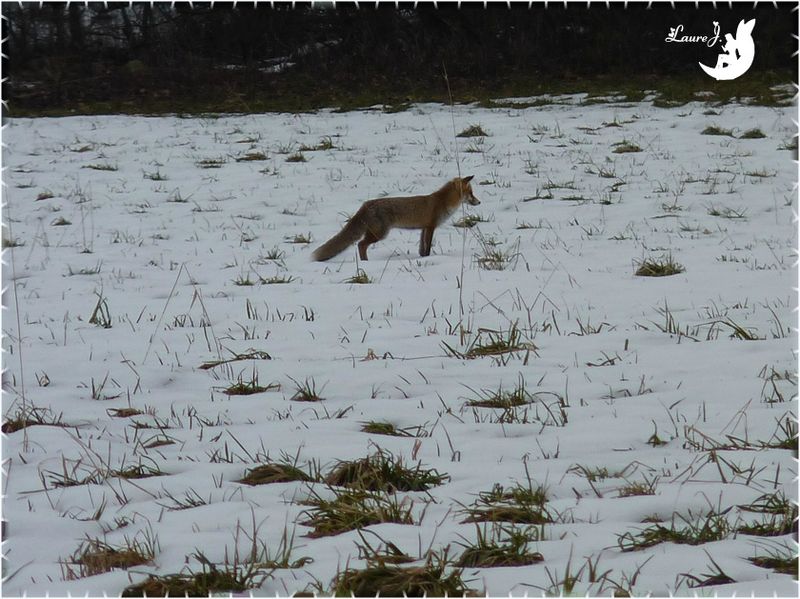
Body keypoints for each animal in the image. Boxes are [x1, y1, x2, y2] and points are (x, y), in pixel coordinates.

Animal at [310, 178, 478, 262]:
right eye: (471, 193)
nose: (479, 202)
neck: (442, 202)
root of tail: (366, 204)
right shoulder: (431, 226)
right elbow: (428, 247)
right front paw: (427, 258)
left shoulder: (424, 227)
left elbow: (422, 248)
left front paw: (422, 258)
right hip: (380, 234)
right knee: (361, 244)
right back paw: (365, 262)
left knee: (360, 244)